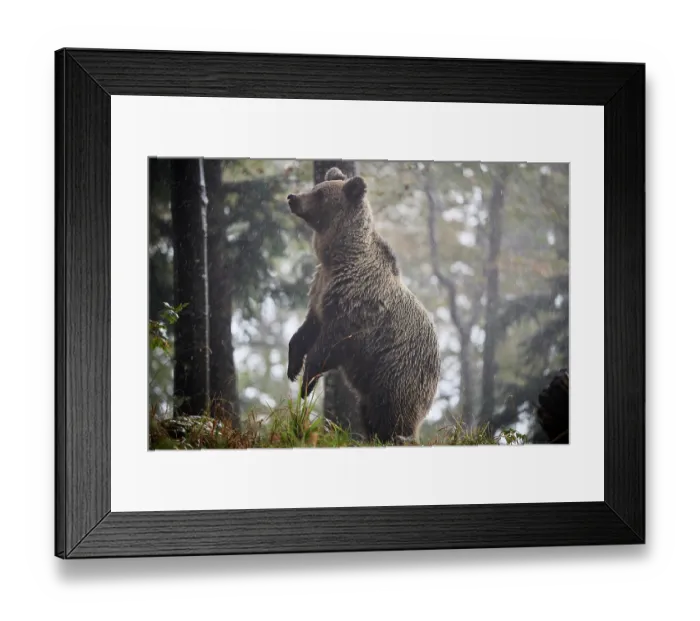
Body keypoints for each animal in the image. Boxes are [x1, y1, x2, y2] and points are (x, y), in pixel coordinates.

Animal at [286, 166, 441, 444]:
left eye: (319, 194)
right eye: (316, 187)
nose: (292, 197)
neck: (337, 258)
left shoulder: (355, 304)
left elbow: (331, 344)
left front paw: (307, 384)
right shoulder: (320, 291)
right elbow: (307, 329)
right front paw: (293, 368)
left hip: (396, 373)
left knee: (392, 414)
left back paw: (398, 437)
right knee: (370, 413)